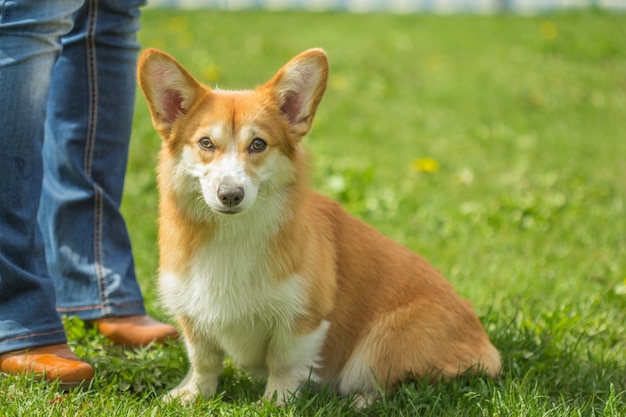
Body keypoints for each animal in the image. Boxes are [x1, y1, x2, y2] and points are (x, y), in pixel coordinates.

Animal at [139, 47, 500, 404]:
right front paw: (191, 395)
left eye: (258, 144)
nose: (230, 195)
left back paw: (359, 401)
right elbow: (204, 360)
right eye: (205, 143)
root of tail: (487, 346)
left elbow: (283, 365)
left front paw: (275, 404)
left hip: (380, 343)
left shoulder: (303, 318)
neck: (231, 234)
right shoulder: (192, 310)